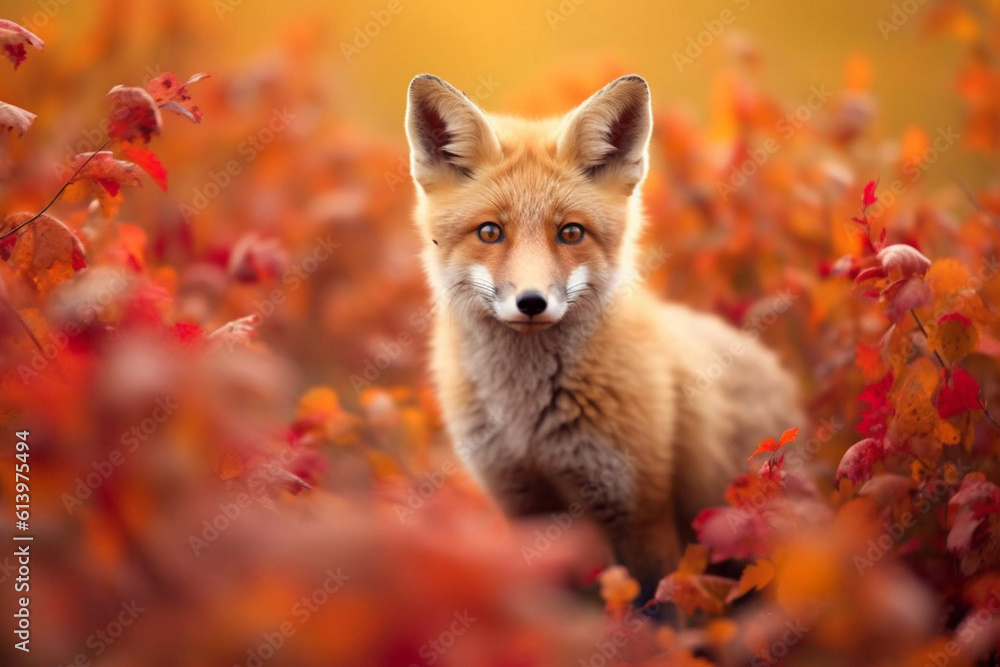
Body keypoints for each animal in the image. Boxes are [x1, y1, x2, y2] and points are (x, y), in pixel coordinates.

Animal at [404, 73, 803, 590]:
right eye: (490, 232)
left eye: (571, 233)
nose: (531, 302)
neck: (527, 420)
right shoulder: (523, 506)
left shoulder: (639, 510)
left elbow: (658, 599)